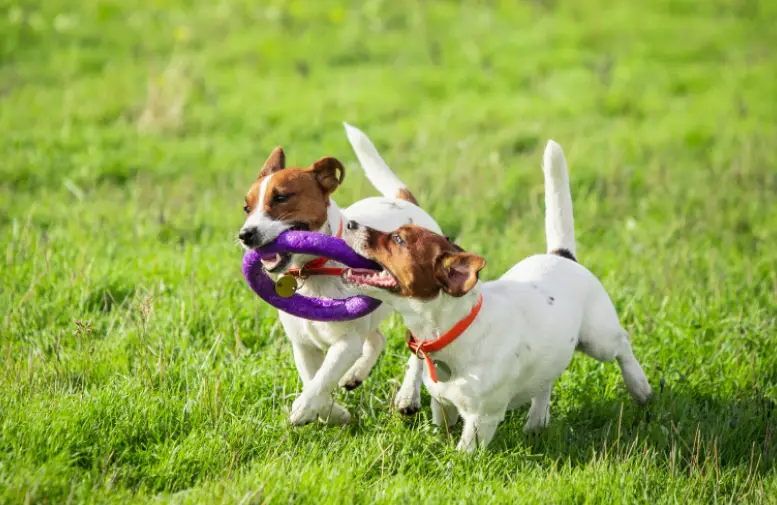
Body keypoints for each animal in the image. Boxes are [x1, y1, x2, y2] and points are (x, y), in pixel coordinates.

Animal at [239, 124, 440, 424]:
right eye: (246, 208)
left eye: (281, 197)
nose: (245, 234)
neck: (312, 271)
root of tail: (403, 202)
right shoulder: (303, 345)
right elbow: (313, 379)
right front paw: (333, 413)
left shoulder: (345, 343)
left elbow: (322, 379)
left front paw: (304, 408)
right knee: (377, 339)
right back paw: (355, 375)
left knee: (418, 351)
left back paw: (408, 395)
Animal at [342, 140, 652, 450]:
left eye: (398, 240)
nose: (349, 224)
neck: (454, 330)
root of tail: (562, 255)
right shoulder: (443, 405)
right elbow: (442, 428)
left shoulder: (481, 420)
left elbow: (463, 452)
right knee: (546, 382)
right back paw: (537, 421)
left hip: (598, 339)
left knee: (622, 344)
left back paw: (640, 387)